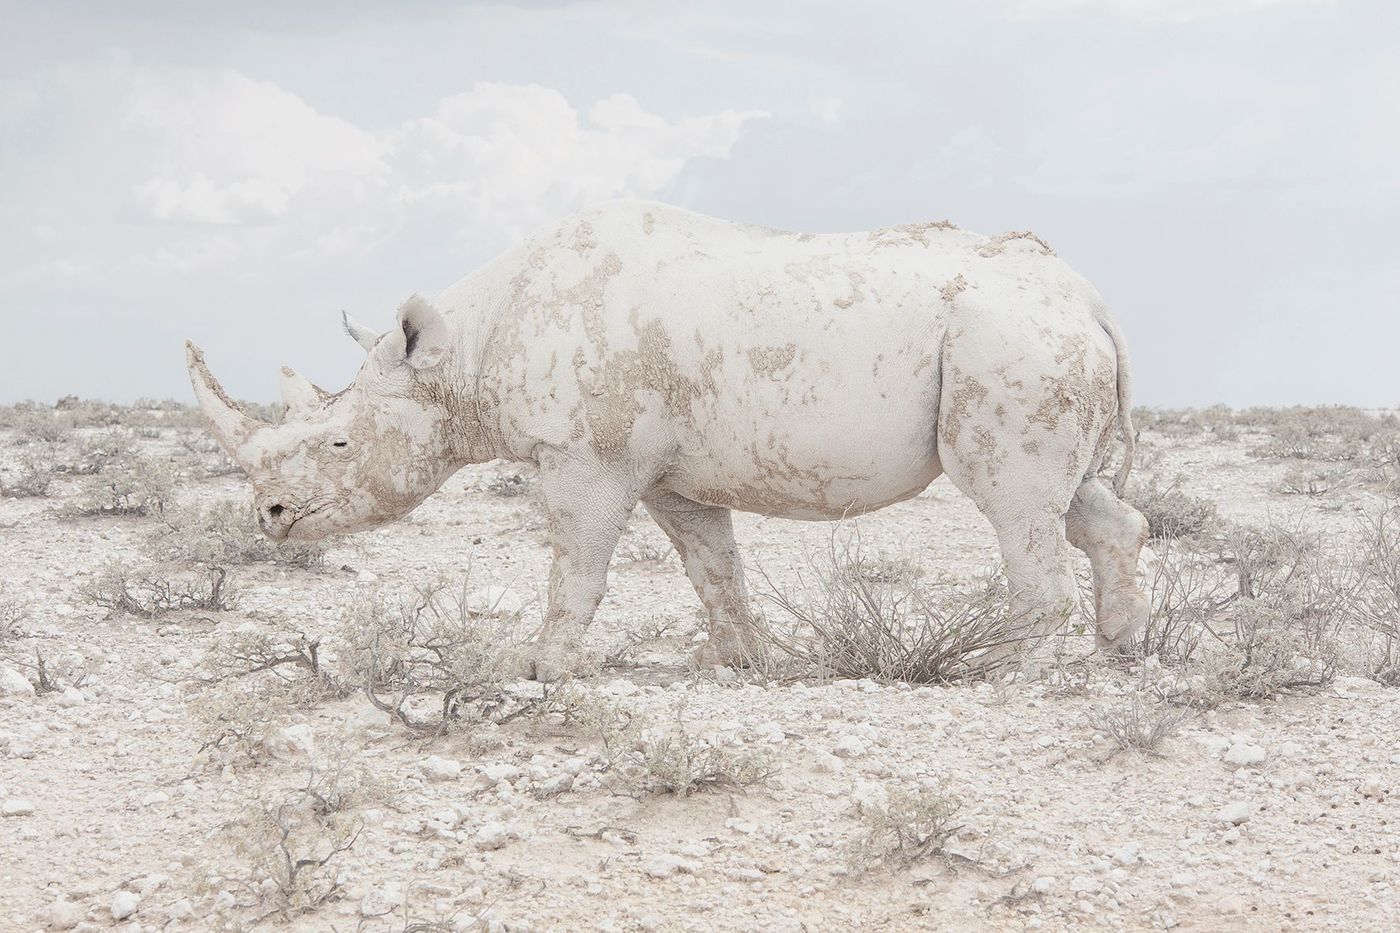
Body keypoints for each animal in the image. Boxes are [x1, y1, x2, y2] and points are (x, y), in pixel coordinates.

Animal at [186, 200, 1149, 678]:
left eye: (338, 447)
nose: (271, 515)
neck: (462, 353)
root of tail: (1087, 295)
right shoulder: (666, 473)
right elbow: (712, 566)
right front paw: (739, 664)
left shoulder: (583, 458)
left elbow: (576, 567)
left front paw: (536, 668)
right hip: (1029, 338)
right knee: (1076, 502)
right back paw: (1117, 651)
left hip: (1008, 341)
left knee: (1014, 503)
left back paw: (1003, 672)